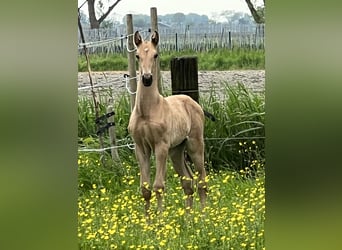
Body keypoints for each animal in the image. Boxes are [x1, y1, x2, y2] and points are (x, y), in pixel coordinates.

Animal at [127, 30, 208, 215]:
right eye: (137, 55)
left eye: (155, 55)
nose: (147, 78)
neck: (147, 111)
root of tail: (192, 102)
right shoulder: (141, 148)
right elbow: (145, 189)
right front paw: (147, 221)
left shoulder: (160, 146)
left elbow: (158, 186)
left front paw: (160, 219)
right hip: (176, 151)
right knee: (188, 182)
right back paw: (188, 218)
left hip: (194, 145)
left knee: (201, 181)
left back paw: (204, 216)